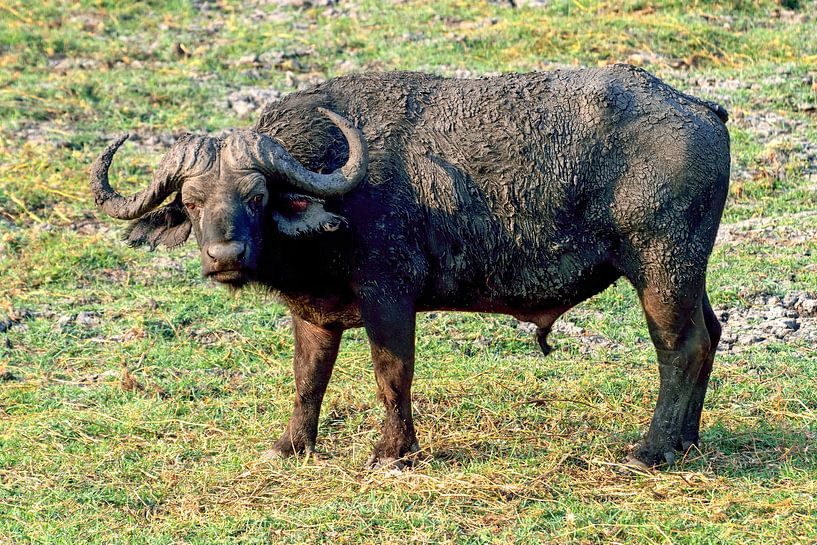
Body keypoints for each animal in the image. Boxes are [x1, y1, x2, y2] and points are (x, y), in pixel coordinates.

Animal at [91, 64, 730, 468]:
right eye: (194, 201)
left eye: (257, 196)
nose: (225, 258)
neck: (338, 193)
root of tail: (702, 109)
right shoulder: (314, 315)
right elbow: (308, 380)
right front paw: (291, 445)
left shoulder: (389, 297)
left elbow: (391, 374)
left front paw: (391, 452)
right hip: (689, 270)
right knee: (712, 333)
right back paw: (687, 441)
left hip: (661, 267)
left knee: (681, 347)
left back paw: (652, 450)